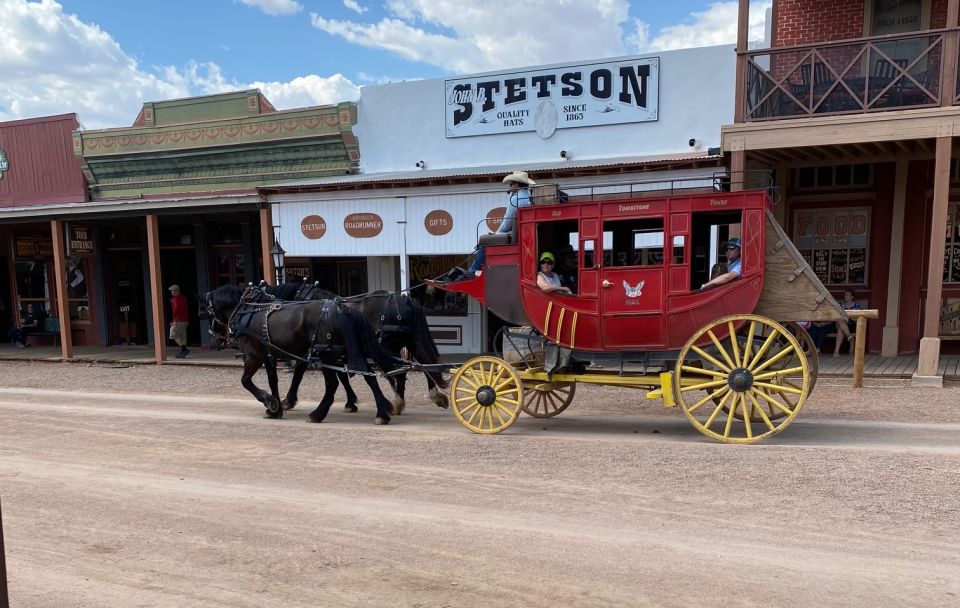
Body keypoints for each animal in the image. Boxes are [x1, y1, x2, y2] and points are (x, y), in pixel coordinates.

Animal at [202, 284, 398, 422]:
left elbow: (245, 381)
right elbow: (273, 380)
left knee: (334, 383)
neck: (247, 311)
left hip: (327, 354)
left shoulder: (254, 356)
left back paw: (318, 414)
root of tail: (344, 309)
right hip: (346, 351)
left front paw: (268, 400)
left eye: (208, 311)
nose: (213, 341)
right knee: (369, 376)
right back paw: (383, 410)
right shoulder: (269, 355)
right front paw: (275, 408)